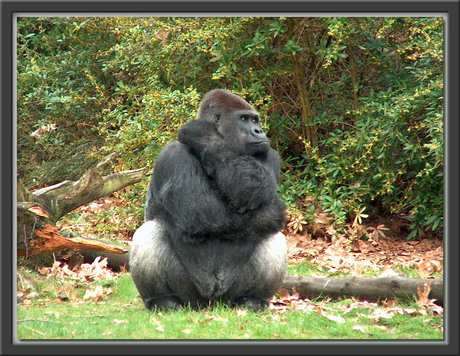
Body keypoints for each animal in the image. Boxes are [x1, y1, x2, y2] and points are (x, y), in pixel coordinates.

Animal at [129, 89, 286, 312]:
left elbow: (252, 186)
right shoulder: (173, 153)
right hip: (190, 296)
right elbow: (200, 210)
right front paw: (204, 136)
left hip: (229, 296)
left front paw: (204, 137)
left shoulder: (268, 153)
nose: (259, 131)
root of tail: (211, 302)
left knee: (273, 235)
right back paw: (162, 300)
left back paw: (253, 299)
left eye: (255, 120)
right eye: (244, 119)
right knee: (149, 231)